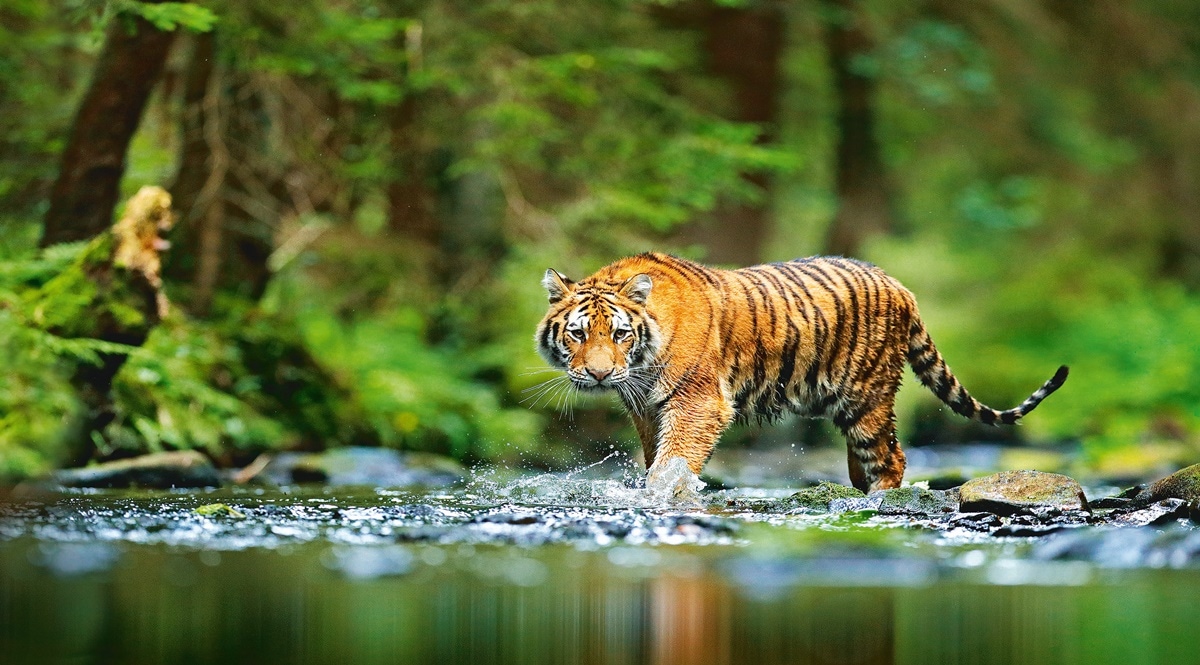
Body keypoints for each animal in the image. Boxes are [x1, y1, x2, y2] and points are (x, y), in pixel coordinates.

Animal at [534, 252, 1068, 492]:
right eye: (578, 334)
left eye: (620, 334)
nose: (599, 375)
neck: (641, 366)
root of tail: (900, 285)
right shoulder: (646, 409)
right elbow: (654, 458)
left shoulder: (698, 402)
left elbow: (673, 461)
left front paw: (664, 494)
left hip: (867, 399)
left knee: (891, 458)